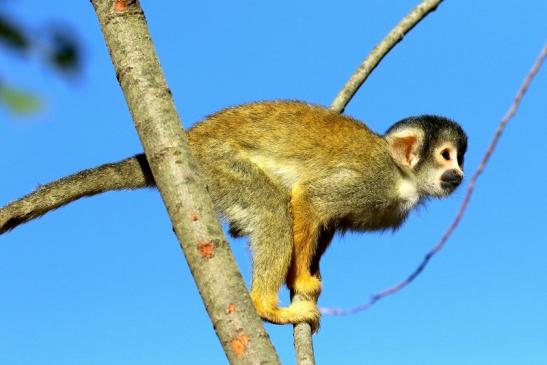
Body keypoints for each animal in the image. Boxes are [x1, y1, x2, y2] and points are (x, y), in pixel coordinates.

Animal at [2, 99, 468, 330]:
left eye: (459, 157)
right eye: (446, 156)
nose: (460, 174)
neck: (402, 177)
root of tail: (187, 139)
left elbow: (325, 218)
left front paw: (309, 273)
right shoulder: (372, 180)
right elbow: (310, 200)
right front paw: (300, 280)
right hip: (216, 165)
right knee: (270, 205)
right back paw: (266, 306)